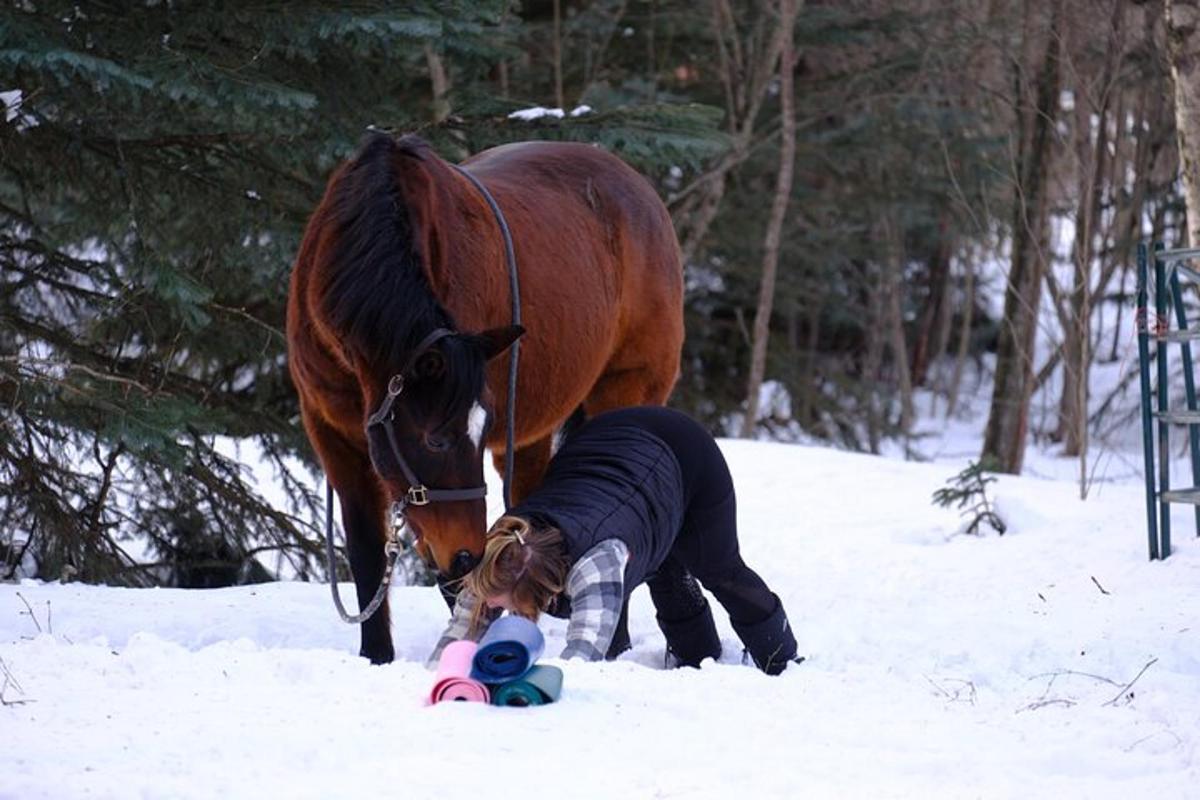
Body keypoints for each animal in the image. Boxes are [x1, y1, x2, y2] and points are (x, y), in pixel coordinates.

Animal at [283, 133, 686, 662]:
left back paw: (615, 643)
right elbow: (368, 552)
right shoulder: (333, 434)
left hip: (627, 391)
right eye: (435, 439)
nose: (465, 553)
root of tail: (640, 190)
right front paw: (378, 656)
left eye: (480, 426)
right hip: (531, 433)